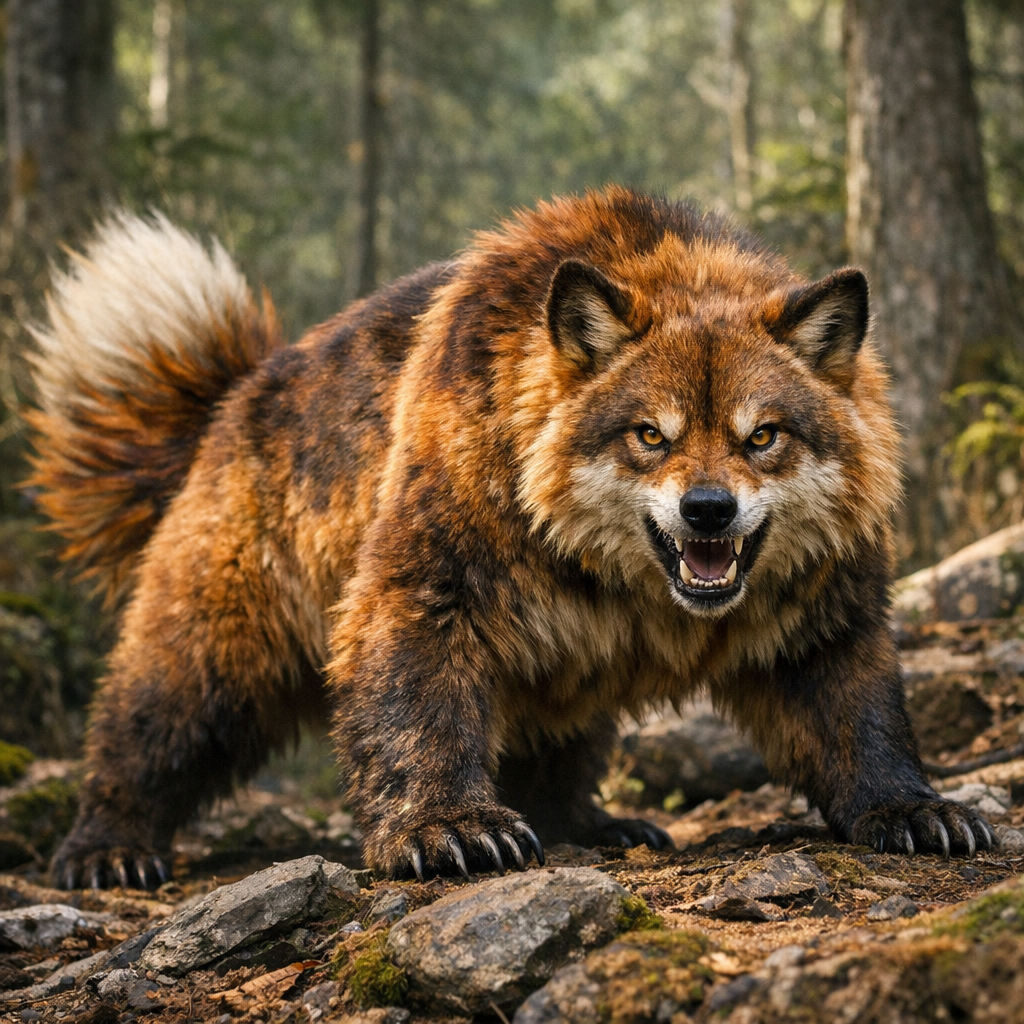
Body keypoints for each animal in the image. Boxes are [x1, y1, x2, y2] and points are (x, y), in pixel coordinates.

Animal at [27, 187, 992, 889]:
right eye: (650, 434)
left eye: (764, 435)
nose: (709, 510)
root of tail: (230, 398)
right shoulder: (425, 586)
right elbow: (417, 714)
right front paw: (445, 828)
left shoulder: (820, 612)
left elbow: (860, 716)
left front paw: (912, 808)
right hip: (220, 645)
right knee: (150, 724)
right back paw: (105, 849)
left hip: (572, 673)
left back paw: (594, 825)